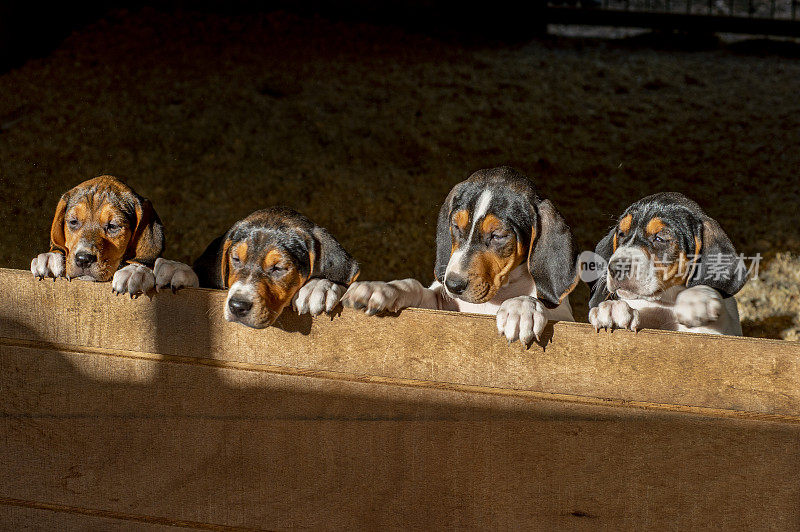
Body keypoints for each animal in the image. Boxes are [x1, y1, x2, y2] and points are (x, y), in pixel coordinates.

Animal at [340, 167, 580, 350]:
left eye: (498, 236)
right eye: (456, 226)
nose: (453, 285)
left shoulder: (568, 319)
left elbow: (538, 301)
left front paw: (521, 307)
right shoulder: (442, 304)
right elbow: (414, 286)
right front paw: (382, 288)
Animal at [588, 192, 752, 336]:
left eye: (660, 238)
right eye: (621, 234)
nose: (616, 268)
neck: (665, 303)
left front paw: (695, 298)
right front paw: (612, 309)